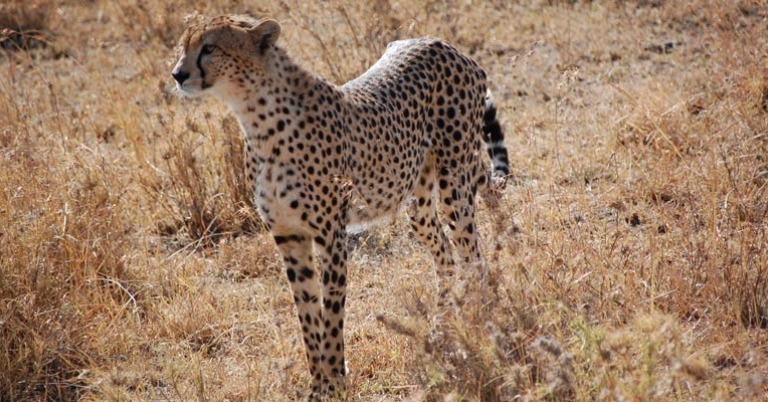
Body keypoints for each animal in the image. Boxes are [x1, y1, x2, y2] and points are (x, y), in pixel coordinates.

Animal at [171, 14, 510, 400]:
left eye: (210, 48)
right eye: (184, 46)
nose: (177, 75)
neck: (256, 116)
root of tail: (441, 44)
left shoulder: (331, 234)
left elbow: (332, 313)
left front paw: (334, 382)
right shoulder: (288, 236)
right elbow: (307, 312)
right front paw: (318, 383)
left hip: (455, 184)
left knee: (474, 257)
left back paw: (478, 323)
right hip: (418, 203)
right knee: (446, 256)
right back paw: (442, 327)